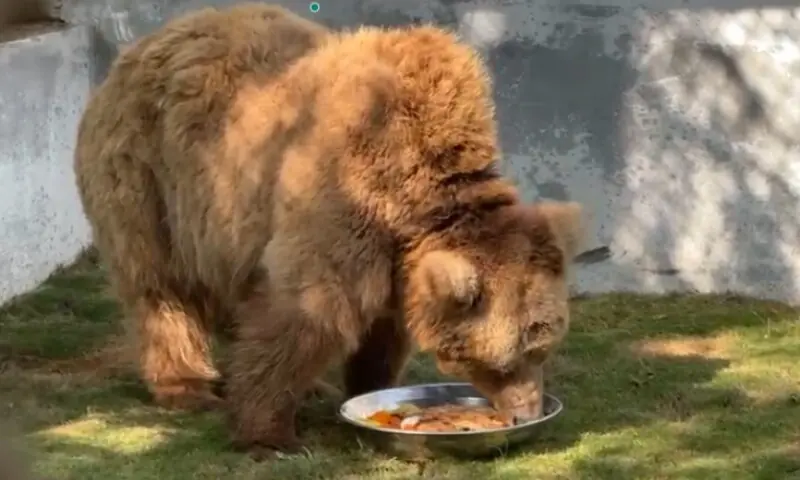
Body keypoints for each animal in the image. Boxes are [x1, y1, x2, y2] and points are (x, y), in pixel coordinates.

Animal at [73, 2, 584, 459]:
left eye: (544, 346)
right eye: (508, 359)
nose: (527, 411)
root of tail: (140, 46)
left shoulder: (396, 251)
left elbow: (383, 326)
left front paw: (366, 385)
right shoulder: (344, 188)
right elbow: (310, 310)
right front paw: (269, 435)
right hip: (150, 176)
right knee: (158, 286)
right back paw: (186, 385)